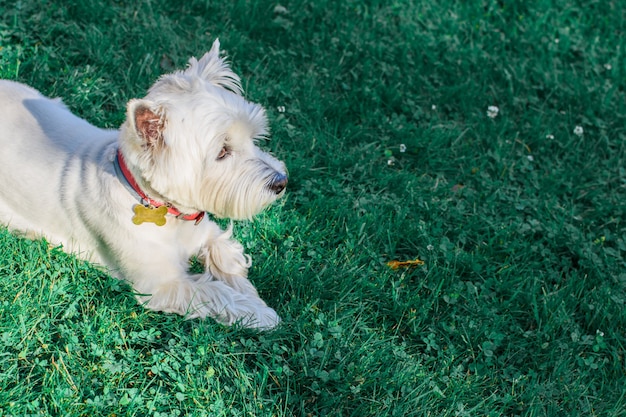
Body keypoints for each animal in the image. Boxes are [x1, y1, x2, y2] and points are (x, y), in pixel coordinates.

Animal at [0, 40, 286, 330]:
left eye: (252, 138)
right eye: (222, 152)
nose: (281, 182)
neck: (164, 209)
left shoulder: (206, 232)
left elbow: (227, 256)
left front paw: (251, 294)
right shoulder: (160, 285)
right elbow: (214, 291)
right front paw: (260, 313)